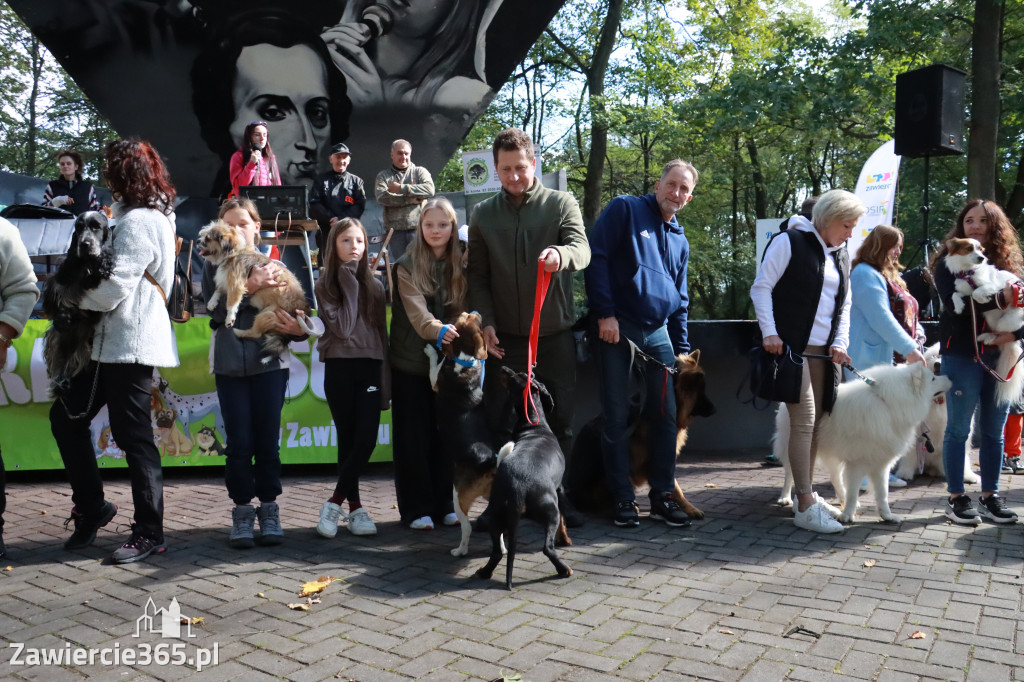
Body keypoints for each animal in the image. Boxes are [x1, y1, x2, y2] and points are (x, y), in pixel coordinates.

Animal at [197, 219, 311, 358]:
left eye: (208, 238)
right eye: (203, 236)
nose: (197, 241)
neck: (234, 253)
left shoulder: (235, 284)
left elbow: (231, 304)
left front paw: (230, 318)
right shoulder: (225, 281)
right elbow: (217, 291)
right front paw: (212, 302)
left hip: (268, 314)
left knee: (256, 333)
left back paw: (239, 332)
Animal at [473, 366, 573, 589]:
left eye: (517, 375)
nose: (503, 368)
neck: (534, 426)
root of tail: (517, 485)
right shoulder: (560, 488)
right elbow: (564, 518)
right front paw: (565, 539)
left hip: (494, 514)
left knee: (497, 552)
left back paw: (485, 572)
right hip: (549, 510)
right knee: (547, 547)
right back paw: (564, 570)